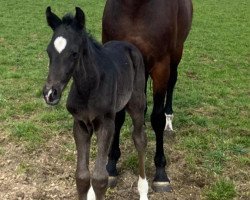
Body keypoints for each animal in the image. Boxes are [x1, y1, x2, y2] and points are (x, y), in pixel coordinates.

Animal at [43, 7, 148, 200]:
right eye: (48, 51)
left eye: (74, 53)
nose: (49, 94)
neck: (89, 87)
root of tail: (128, 45)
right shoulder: (80, 124)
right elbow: (82, 176)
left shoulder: (105, 123)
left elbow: (99, 179)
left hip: (137, 102)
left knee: (139, 139)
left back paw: (143, 190)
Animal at [102, 0, 192, 191]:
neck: (135, 7)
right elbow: (118, 117)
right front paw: (112, 166)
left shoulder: (161, 66)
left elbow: (157, 118)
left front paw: (161, 172)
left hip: (176, 53)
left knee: (172, 82)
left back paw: (169, 121)